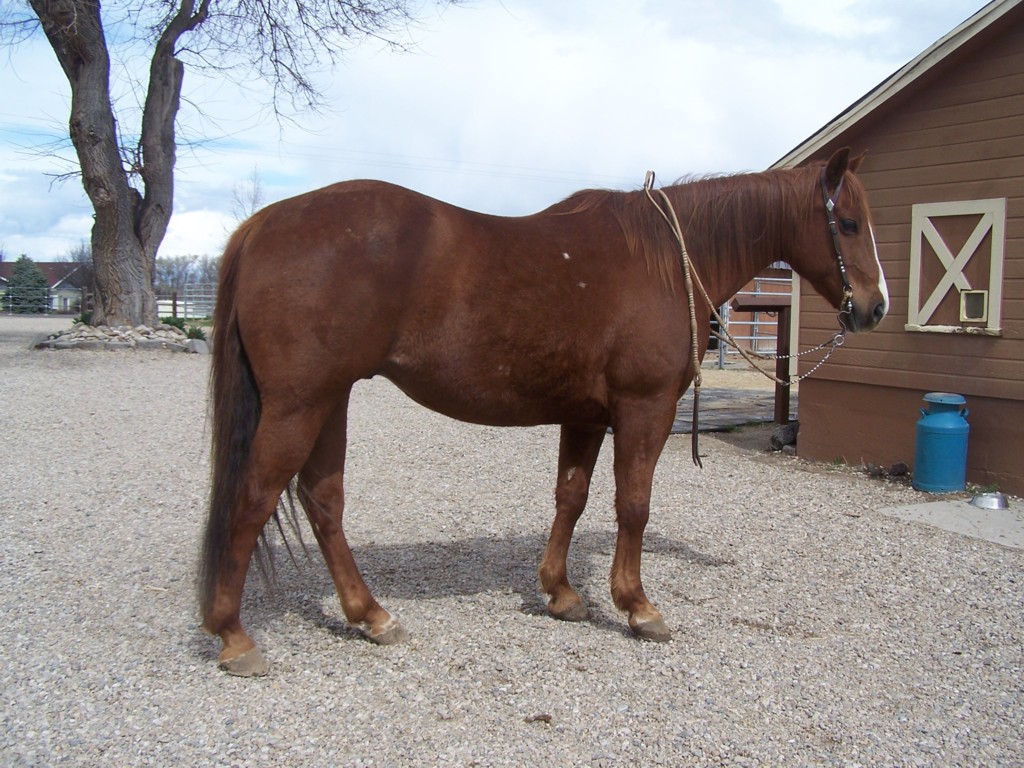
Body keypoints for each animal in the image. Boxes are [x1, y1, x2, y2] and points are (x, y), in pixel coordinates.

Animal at [199, 148, 888, 676]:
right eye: (850, 223)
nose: (875, 307)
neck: (664, 260)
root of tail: (262, 225)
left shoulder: (585, 416)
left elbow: (571, 496)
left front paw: (560, 592)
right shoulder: (644, 409)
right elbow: (632, 505)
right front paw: (638, 606)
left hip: (329, 399)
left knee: (322, 501)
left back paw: (371, 615)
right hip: (301, 404)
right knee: (254, 499)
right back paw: (234, 636)